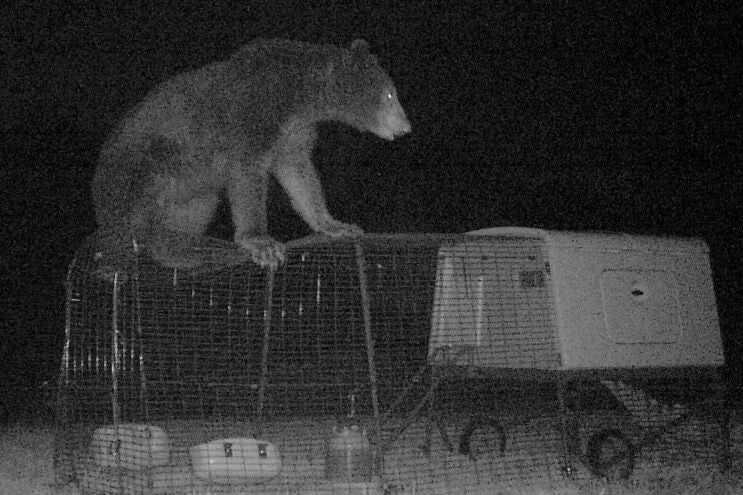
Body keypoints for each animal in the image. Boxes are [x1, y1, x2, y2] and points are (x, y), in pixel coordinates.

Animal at [91, 39, 412, 278]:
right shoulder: (254, 114)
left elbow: (300, 175)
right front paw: (262, 243)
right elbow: (248, 175)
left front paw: (337, 225)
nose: (406, 126)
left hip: (193, 191)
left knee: (197, 209)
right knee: (133, 208)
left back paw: (186, 250)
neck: (300, 98)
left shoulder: (293, 134)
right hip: (145, 162)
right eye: (389, 95)